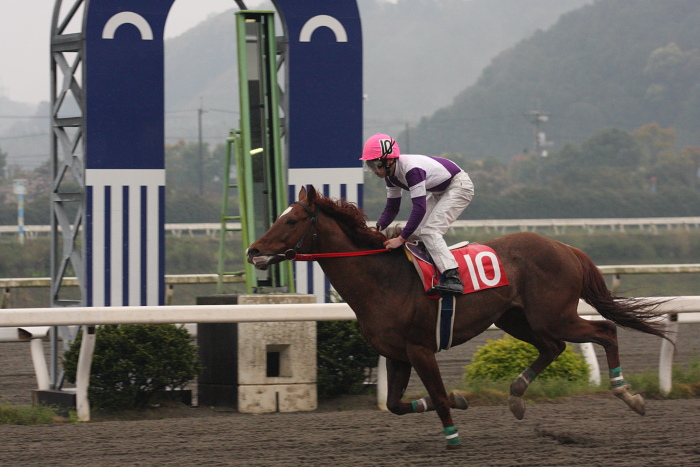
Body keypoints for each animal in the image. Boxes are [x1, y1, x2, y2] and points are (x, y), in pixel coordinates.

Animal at [246, 186, 668, 450]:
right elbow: (396, 404)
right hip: (517, 319)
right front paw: (460, 399)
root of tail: (564, 246)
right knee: (554, 347)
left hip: (554, 315)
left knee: (605, 330)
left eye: (291, 221)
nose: (253, 251)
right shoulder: (396, 354)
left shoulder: (420, 348)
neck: (382, 278)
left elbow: (435, 395)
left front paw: (452, 436)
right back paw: (516, 396)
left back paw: (628, 394)